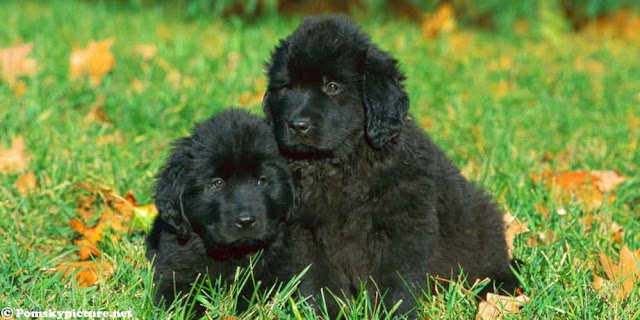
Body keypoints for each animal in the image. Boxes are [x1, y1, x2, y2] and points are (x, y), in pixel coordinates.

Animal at [262, 15, 524, 316]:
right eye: (286, 87)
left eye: (333, 87)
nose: (297, 125)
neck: (339, 164)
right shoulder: (302, 231)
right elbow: (317, 279)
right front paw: (330, 312)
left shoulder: (401, 226)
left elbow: (395, 281)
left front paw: (392, 312)